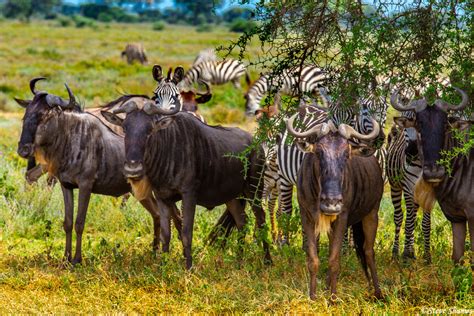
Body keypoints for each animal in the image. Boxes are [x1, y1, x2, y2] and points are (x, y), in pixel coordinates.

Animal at [386, 111, 432, 262]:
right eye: (405, 128)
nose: (411, 152)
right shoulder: (407, 188)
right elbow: (409, 222)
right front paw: (406, 254)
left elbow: (425, 223)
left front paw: (427, 256)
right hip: (395, 186)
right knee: (399, 217)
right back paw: (396, 252)